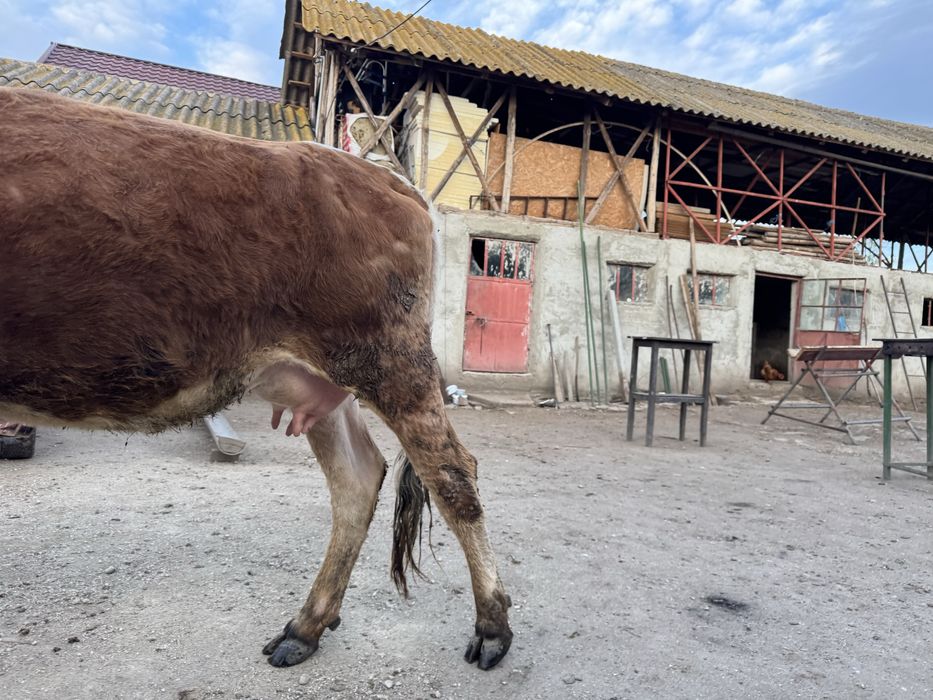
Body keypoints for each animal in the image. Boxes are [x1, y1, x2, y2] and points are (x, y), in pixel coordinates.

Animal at [0, 87, 512, 670]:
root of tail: (386, 179)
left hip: (390, 358)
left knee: (451, 474)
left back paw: (492, 626)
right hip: (315, 376)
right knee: (359, 477)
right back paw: (305, 627)